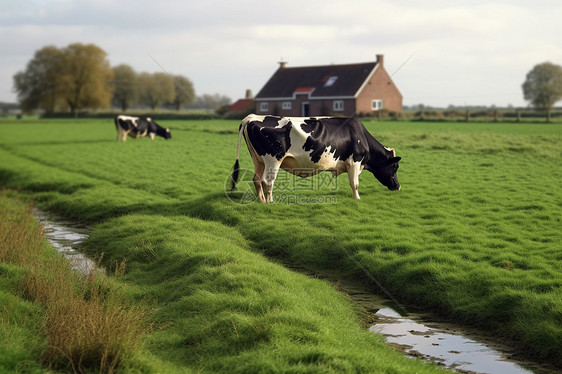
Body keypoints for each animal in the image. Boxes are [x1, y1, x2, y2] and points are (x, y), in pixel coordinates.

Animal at [230, 114, 400, 203]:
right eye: (395, 167)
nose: (398, 186)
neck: (360, 135)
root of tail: (252, 117)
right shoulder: (354, 162)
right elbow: (355, 183)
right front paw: (357, 199)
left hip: (258, 160)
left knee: (257, 179)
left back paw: (261, 201)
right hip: (273, 160)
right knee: (267, 181)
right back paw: (270, 201)